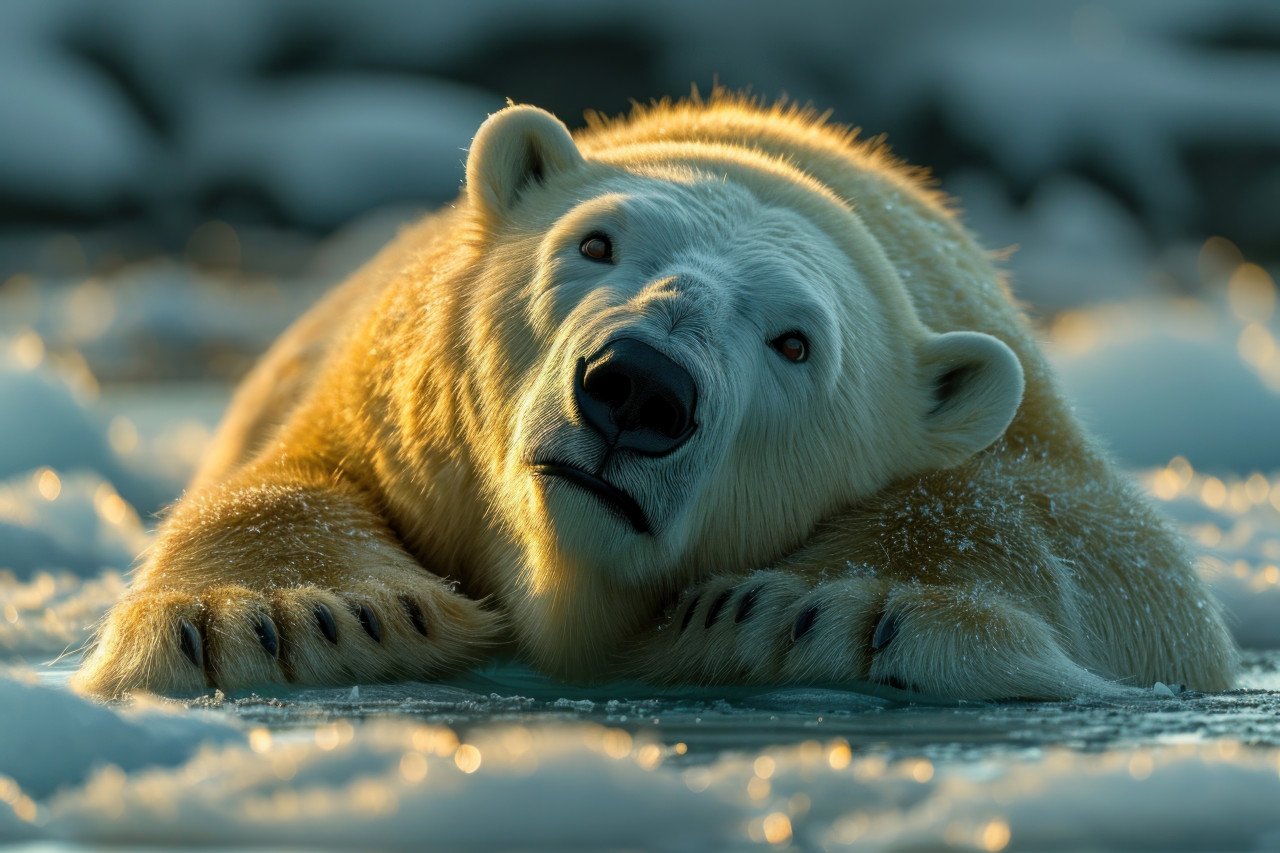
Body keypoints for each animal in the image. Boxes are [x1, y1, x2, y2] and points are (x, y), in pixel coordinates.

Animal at [74, 95, 1236, 701]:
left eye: (795, 342)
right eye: (594, 242)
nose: (637, 388)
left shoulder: (1015, 423)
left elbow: (1084, 538)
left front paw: (821, 606)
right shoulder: (383, 396)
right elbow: (289, 482)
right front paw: (288, 616)